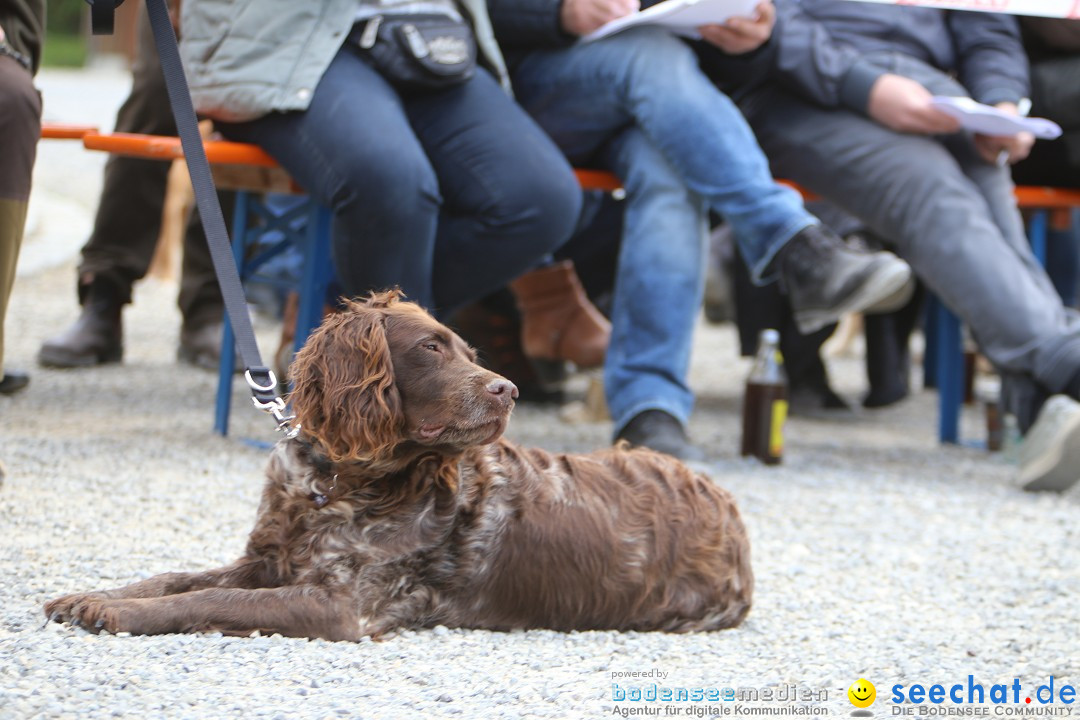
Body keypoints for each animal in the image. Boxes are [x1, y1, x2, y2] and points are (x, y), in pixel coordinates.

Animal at [42, 289, 751, 639]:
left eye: (468, 352)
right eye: (433, 349)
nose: (510, 390)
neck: (337, 482)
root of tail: (730, 510)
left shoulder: (342, 603)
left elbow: (210, 598)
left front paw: (117, 615)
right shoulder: (269, 561)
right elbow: (174, 579)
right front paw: (94, 596)